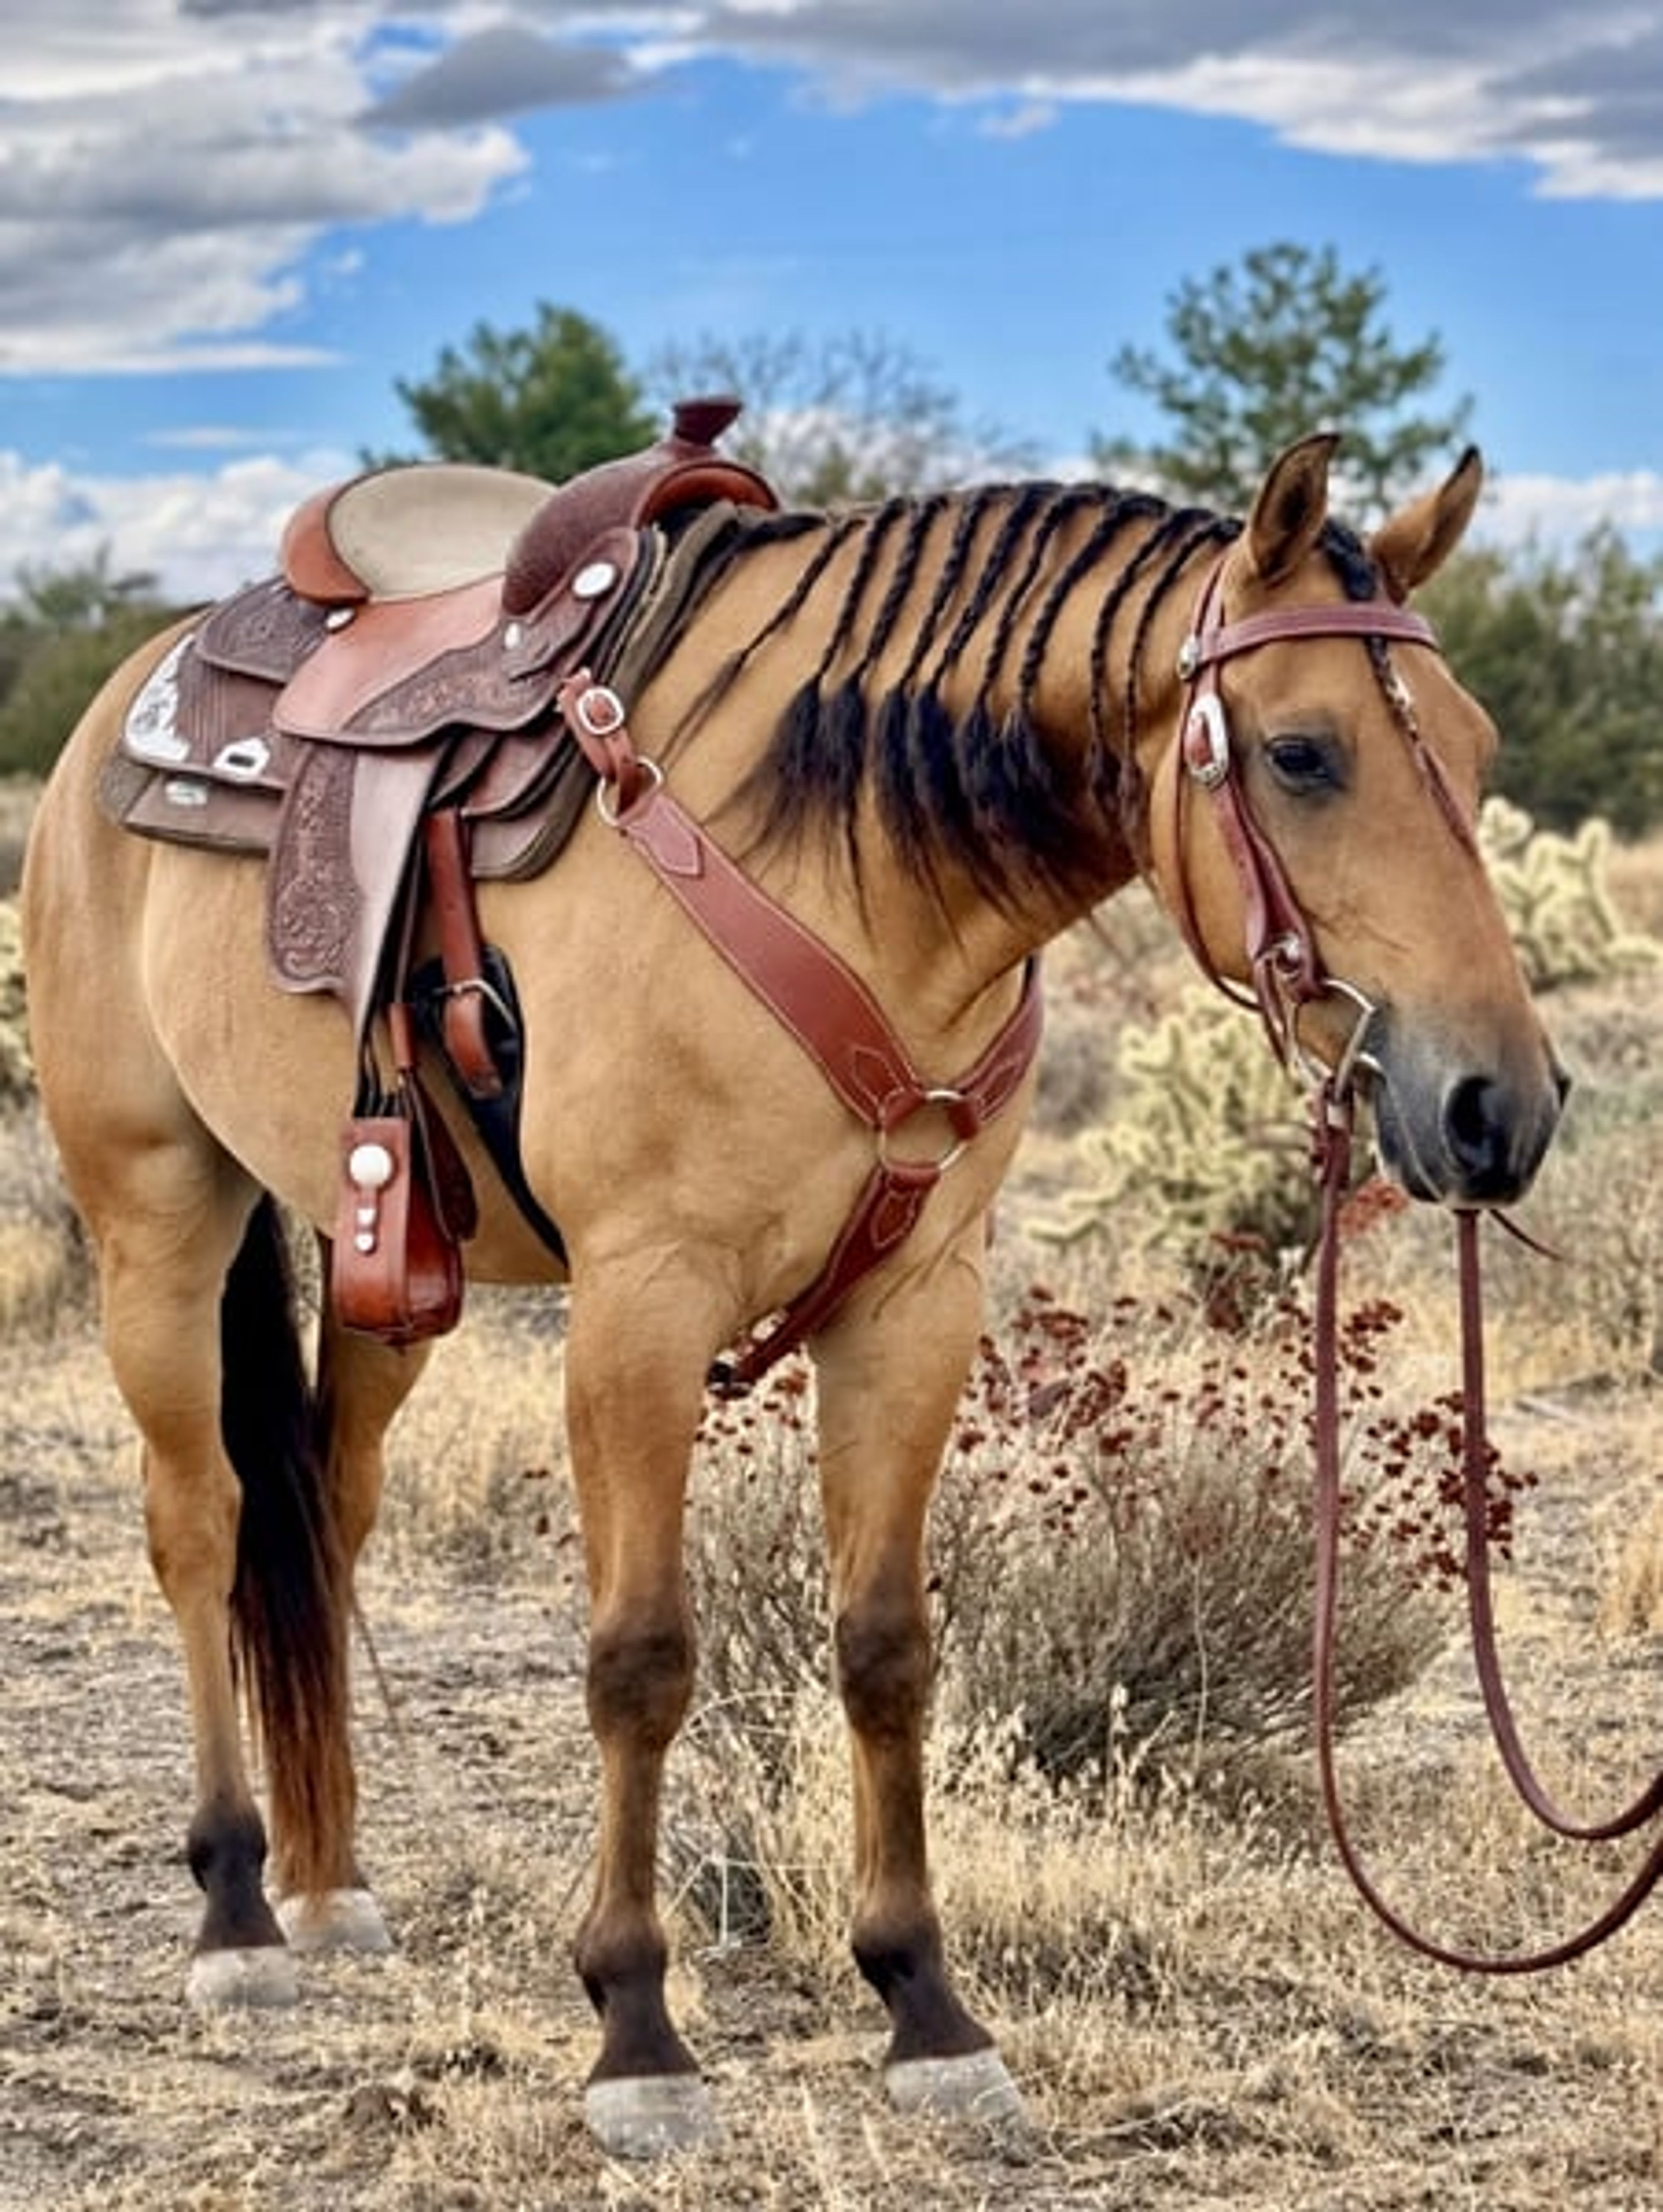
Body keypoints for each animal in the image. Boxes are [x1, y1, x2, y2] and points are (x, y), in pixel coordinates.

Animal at [21, 428, 1565, 2155]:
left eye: (1477, 746)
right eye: (1301, 754)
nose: (1498, 1108)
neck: (849, 866)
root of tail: (134, 688)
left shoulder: (914, 1305)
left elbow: (886, 1645)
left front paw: (925, 2007)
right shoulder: (640, 1308)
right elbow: (639, 1658)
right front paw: (636, 2031)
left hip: (386, 1261)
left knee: (327, 1514)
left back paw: (329, 1878)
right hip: (157, 1211)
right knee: (202, 1523)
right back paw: (234, 1910)